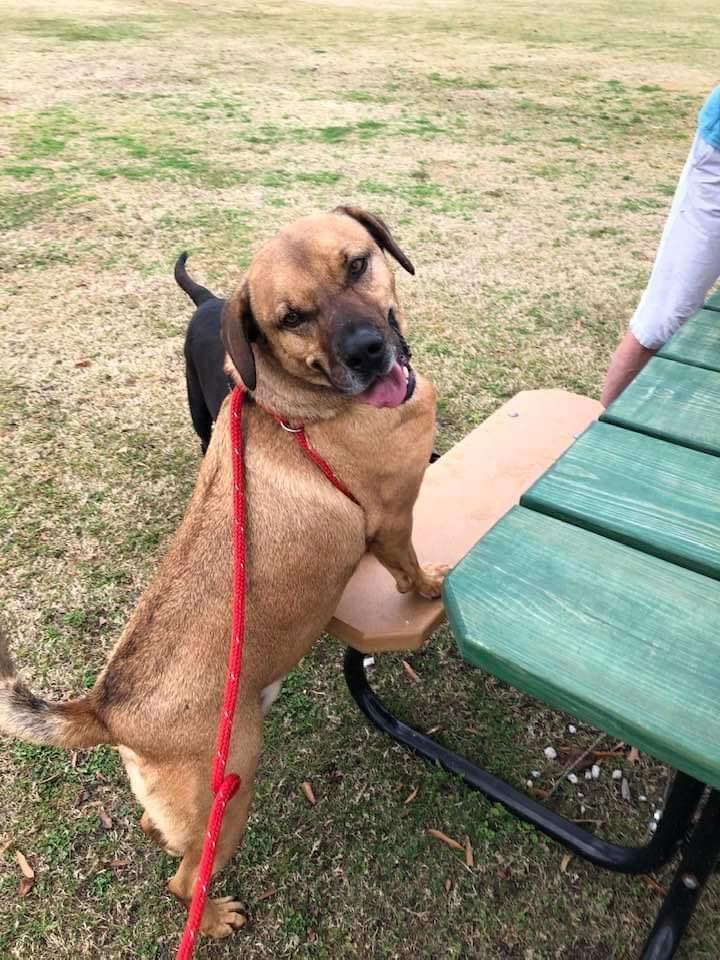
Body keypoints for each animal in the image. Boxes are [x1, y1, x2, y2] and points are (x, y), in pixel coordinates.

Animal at [0, 208, 448, 936]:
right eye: (291, 317)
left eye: (357, 264)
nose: (366, 351)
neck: (299, 411)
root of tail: (106, 708)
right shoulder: (392, 521)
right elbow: (408, 569)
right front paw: (433, 586)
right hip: (231, 786)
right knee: (184, 878)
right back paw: (211, 916)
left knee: (166, 837)